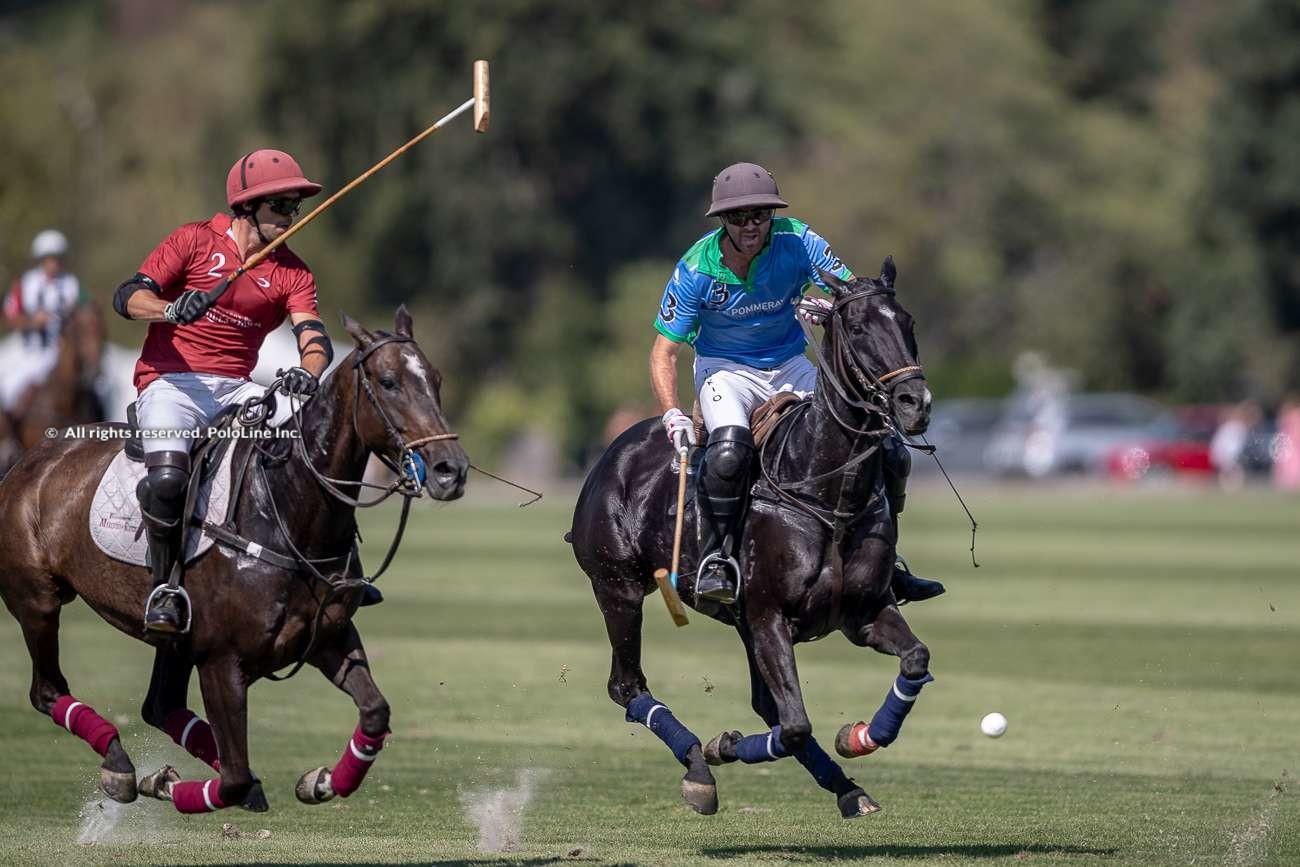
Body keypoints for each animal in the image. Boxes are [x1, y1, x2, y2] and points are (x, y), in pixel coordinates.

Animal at [0, 308, 465, 816]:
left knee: (159, 706)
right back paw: (120, 765)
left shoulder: (329, 638)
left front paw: (320, 781)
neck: (288, 509)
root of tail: (32, 460)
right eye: (387, 382)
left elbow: (376, 713)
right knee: (48, 691)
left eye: (437, 379)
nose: (451, 470)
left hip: (173, 641)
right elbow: (235, 779)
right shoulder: (222, 661)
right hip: (37, 601)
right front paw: (164, 783)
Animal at [569, 257, 935, 821]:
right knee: (626, 685)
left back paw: (846, 788)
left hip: (734, 621)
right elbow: (795, 725)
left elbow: (915, 660)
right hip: (618, 588)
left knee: (765, 705)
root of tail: (615, 451)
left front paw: (860, 737)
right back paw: (699, 767)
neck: (827, 490)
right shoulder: (768, 618)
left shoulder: (863, 612)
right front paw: (724, 747)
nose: (915, 403)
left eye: (909, 322)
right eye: (856, 328)